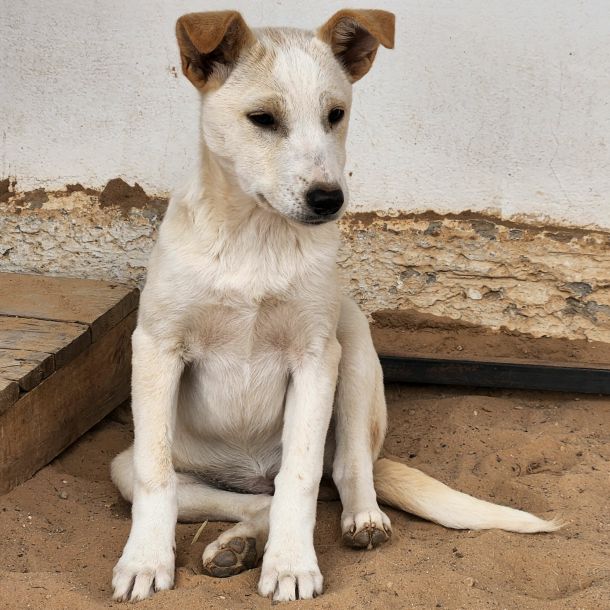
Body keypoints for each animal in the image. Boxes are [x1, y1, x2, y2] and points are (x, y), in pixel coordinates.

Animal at [111, 8, 560, 600]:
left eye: (336, 115)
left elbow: (300, 476)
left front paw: (291, 565)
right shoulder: (156, 348)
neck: (257, 238)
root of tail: (250, 470)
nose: (329, 199)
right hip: (137, 465)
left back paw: (358, 520)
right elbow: (155, 476)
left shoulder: (316, 356)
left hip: (356, 353)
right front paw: (144, 560)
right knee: (246, 499)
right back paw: (237, 544)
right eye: (262, 119)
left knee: (343, 469)